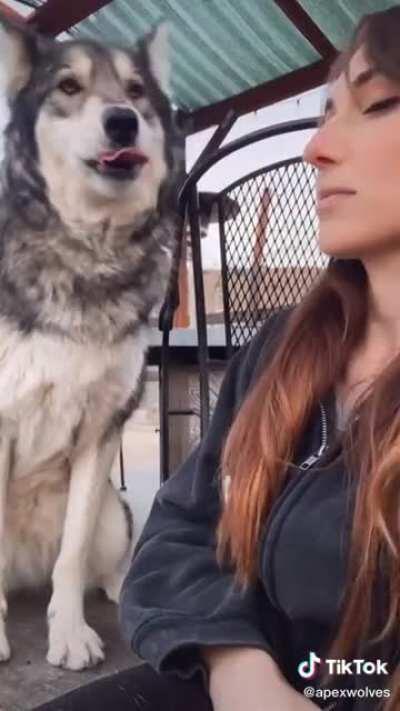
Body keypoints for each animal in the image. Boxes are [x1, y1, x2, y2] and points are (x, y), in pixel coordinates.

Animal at [0, 16, 181, 670]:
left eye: (135, 91)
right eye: (69, 86)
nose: (123, 121)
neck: (86, 256)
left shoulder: (103, 426)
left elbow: (72, 558)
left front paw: (71, 634)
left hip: (113, 510)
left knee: (96, 564)